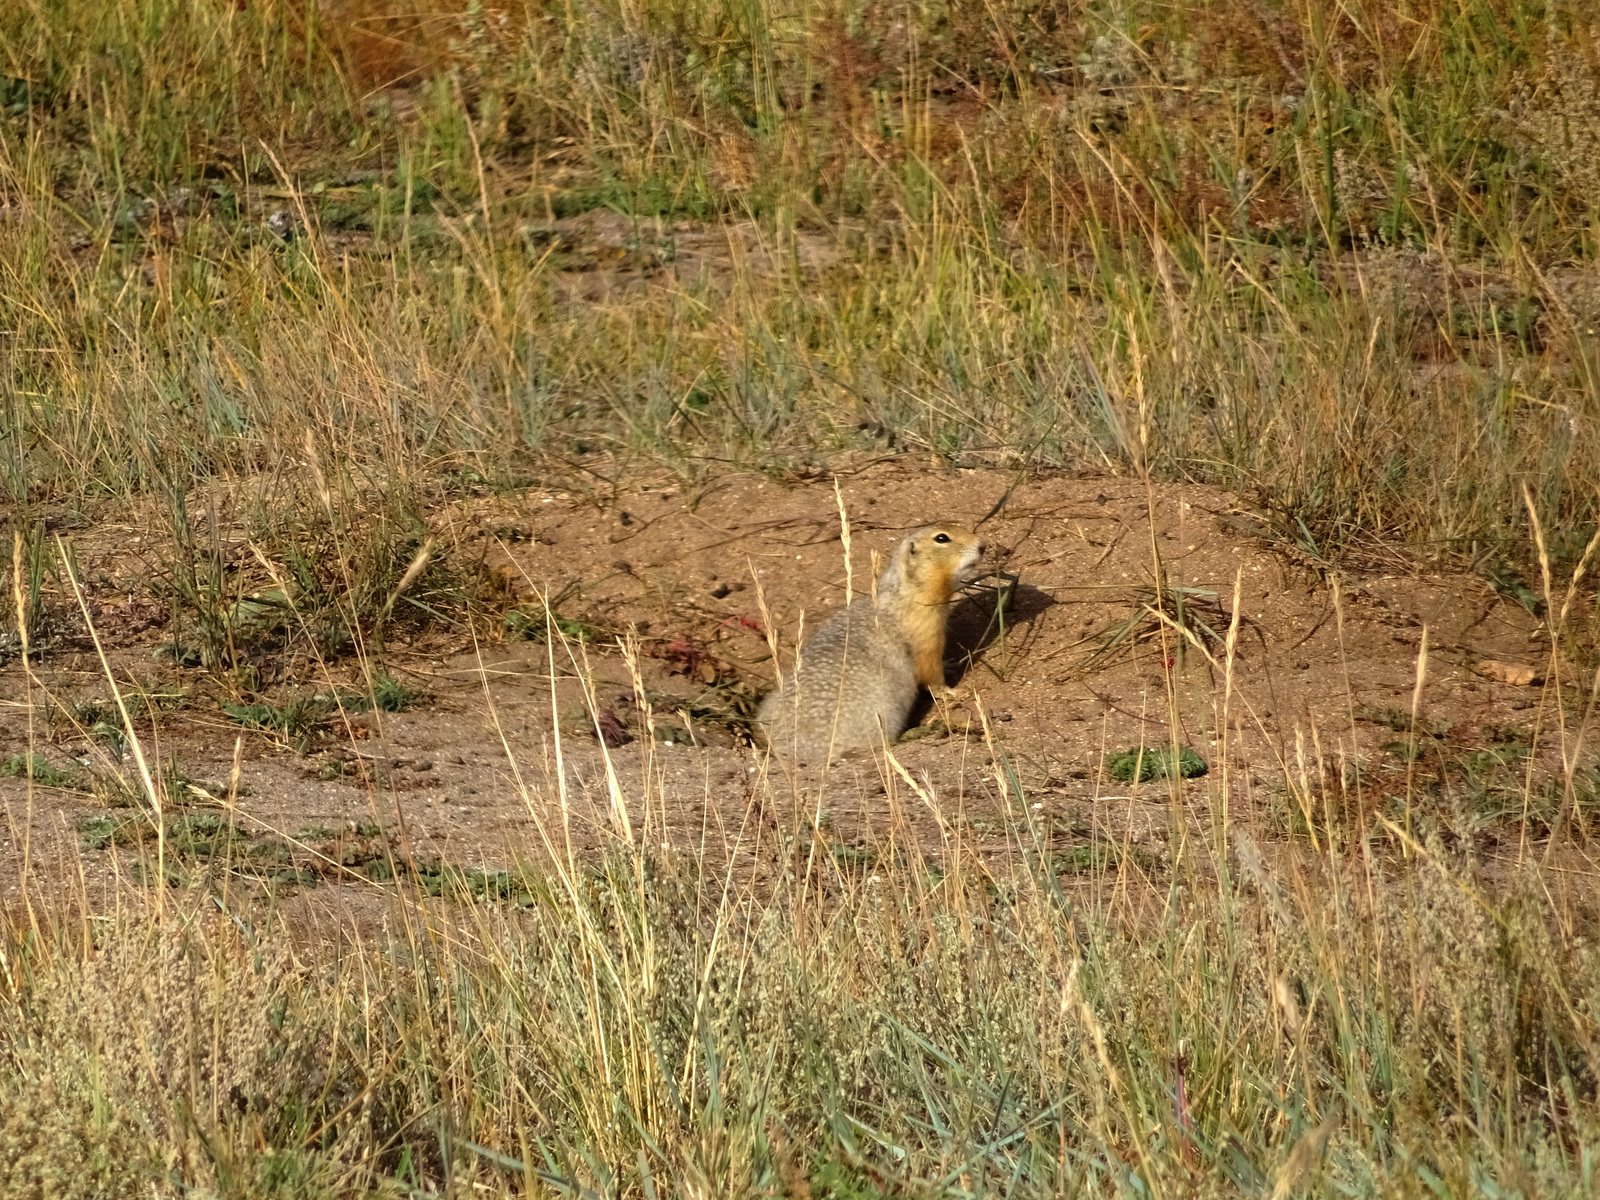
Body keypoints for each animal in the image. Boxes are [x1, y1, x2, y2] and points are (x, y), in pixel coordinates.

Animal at [752, 524, 985, 761]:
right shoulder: (926, 637)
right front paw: (951, 691)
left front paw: (950, 664)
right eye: (941, 538)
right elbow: (931, 675)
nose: (982, 545)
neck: (904, 594)